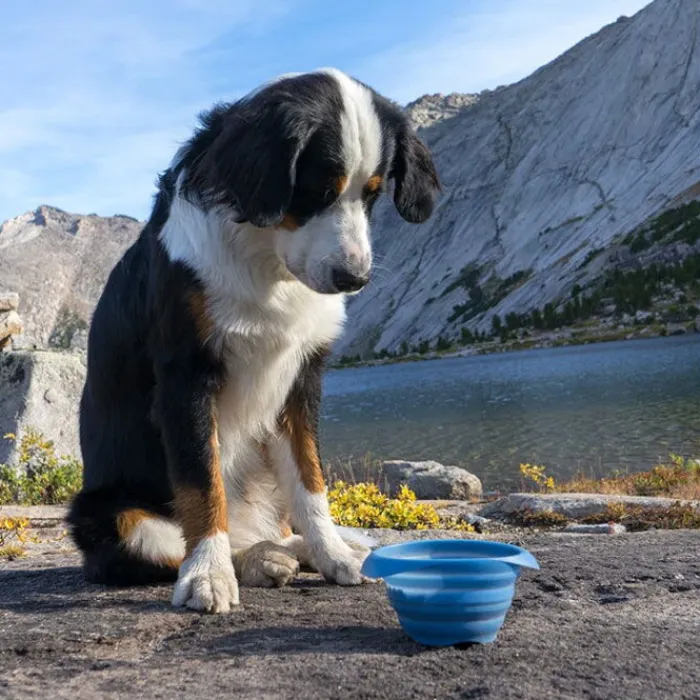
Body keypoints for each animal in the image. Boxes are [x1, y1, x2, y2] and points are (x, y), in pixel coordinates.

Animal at [65, 67, 438, 612]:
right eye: (317, 190)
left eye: (371, 194)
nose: (354, 278)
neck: (267, 262)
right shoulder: (186, 376)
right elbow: (202, 485)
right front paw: (208, 575)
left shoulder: (301, 377)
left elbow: (311, 483)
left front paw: (333, 554)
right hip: (110, 514)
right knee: (174, 543)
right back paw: (254, 561)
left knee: (277, 521)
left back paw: (301, 550)